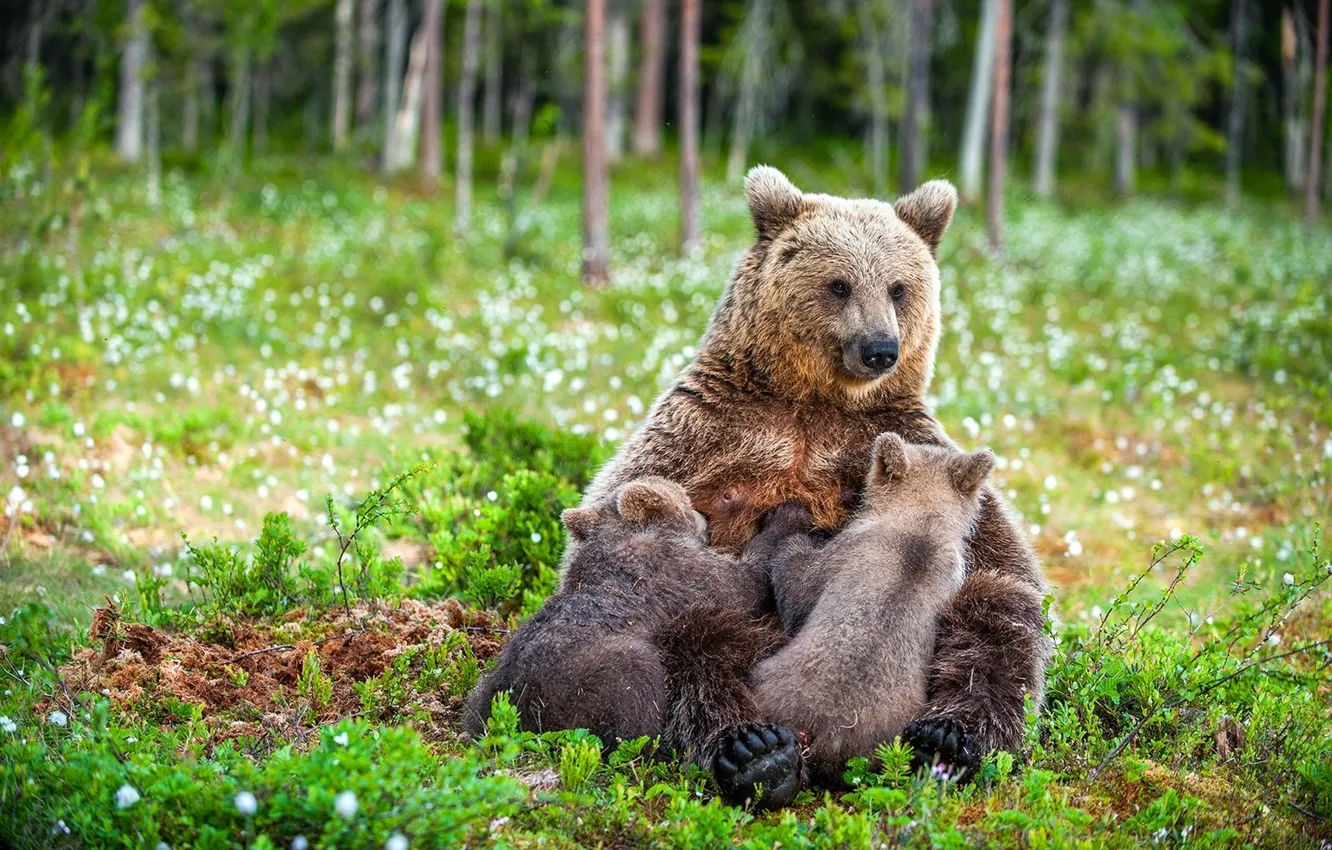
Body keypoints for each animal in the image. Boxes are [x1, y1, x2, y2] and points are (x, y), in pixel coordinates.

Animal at [462, 476, 778, 751]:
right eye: (685, 499)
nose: (705, 516)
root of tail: (521, 716)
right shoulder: (677, 568)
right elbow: (740, 584)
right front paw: (778, 523)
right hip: (593, 678)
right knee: (635, 698)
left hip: (488, 690)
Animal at [744, 433, 996, 782]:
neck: (921, 526)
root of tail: (825, 733)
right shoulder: (953, 581)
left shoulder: (843, 554)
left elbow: (796, 584)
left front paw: (793, 522)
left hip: (773, 682)